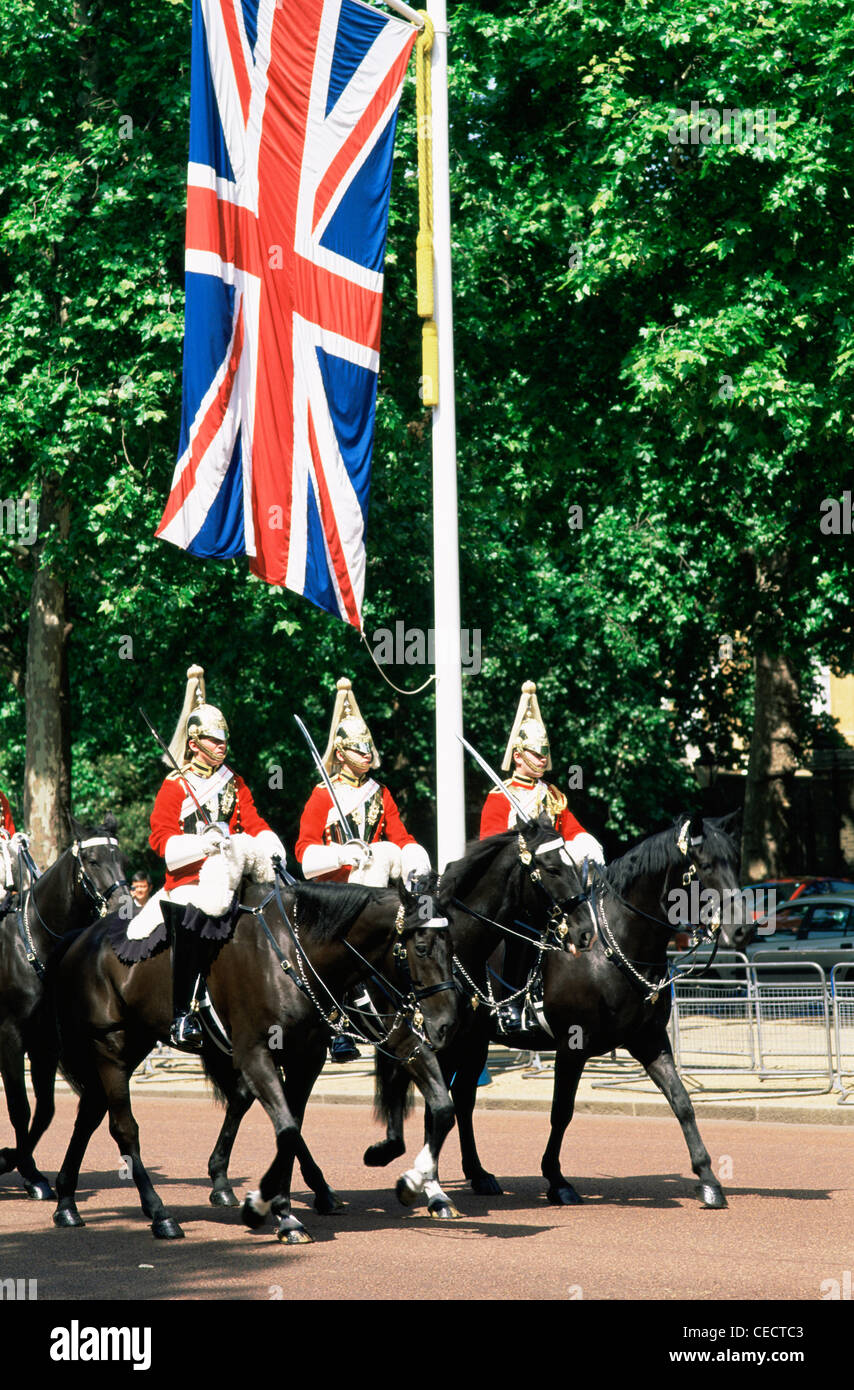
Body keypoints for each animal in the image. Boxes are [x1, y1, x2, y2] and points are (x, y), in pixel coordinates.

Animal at [0, 811, 129, 1195]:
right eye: (91, 860)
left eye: (121, 859)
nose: (125, 907)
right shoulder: (11, 1037)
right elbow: (20, 1108)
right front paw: (22, 1168)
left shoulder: (45, 1042)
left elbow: (45, 1111)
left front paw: (24, 1167)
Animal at [48, 872, 461, 1245]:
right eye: (421, 948)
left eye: (452, 946)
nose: (446, 1024)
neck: (295, 951)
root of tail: (82, 937)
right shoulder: (255, 1054)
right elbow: (288, 1130)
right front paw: (270, 1209)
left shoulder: (317, 1054)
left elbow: (442, 1108)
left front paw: (413, 1182)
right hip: (111, 1048)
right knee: (123, 1128)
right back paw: (159, 1213)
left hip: (135, 1044)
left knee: (89, 1115)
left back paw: (67, 1202)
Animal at [367, 811, 751, 1212]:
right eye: (705, 865)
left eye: (735, 862)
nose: (743, 930)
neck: (613, 946)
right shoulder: (572, 1046)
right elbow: (561, 1112)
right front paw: (556, 1179)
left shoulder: (649, 1039)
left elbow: (682, 1102)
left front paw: (708, 1179)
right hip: (449, 1040)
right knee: (435, 1101)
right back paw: (431, 1184)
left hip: (473, 1042)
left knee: (462, 1098)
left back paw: (476, 1173)